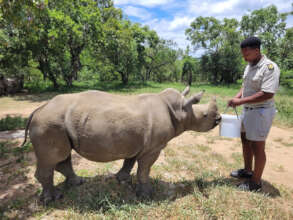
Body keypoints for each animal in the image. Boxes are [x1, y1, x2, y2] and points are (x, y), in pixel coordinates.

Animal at [22, 87, 219, 204]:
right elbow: (144, 169)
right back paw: (53, 199)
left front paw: (122, 179)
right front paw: (147, 195)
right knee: (53, 158)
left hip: (55, 124)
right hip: (47, 123)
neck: (179, 111)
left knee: (62, 157)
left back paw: (77, 183)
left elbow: (129, 162)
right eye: (205, 116)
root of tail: (38, 109)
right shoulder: (153, 147)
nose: (218, 119)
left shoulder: (137, 142)